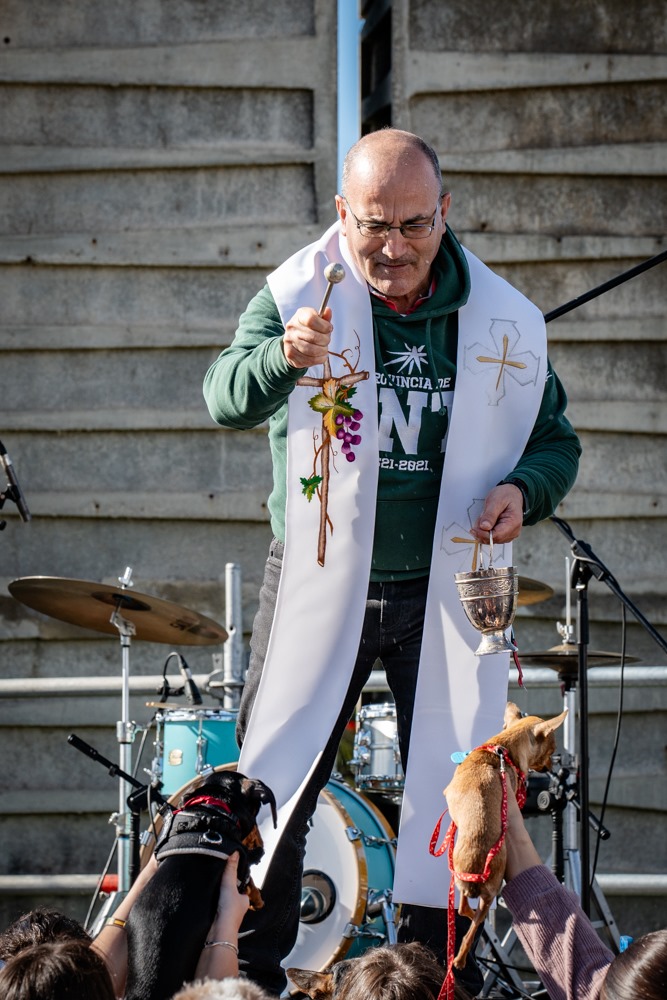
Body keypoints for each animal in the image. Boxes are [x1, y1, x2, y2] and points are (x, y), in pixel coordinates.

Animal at [444, 701, 567, 968]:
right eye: (551, 750)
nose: (551, 766)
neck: (503, 748)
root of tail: (478, 863)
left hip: (470, 883)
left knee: (467, 918)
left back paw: (459, 960)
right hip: (476, 887)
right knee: (468, 918)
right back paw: (461, 956)